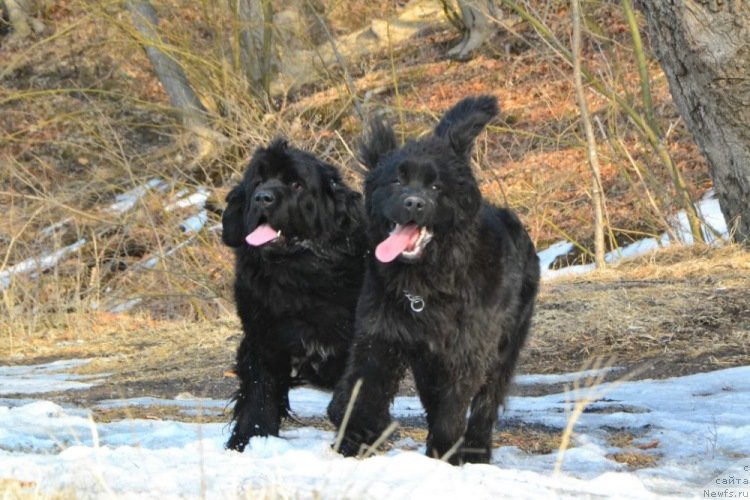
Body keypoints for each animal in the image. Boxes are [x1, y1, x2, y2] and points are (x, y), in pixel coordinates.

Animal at [220, 139, 368, 452]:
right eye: (258, 182)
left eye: (296, 184)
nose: (262, 198)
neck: (298, 275)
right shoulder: (261, 337)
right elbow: (258, 394)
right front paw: (249, 440)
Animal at [328, 94, 540, 464]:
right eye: (397, 181)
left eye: (436, 186)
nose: (414, 203)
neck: (426, 284)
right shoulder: (382, 334)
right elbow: (360, 387)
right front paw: (357, 432)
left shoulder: (468, 351)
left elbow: (452, 412)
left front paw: (445, 453)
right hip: (427, 364)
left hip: (506, 346)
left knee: (486, 403)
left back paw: (476, 450)